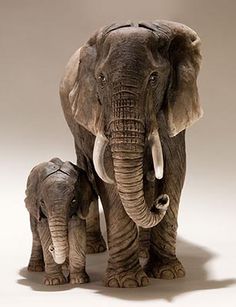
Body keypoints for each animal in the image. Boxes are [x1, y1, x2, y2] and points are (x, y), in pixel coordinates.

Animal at [59, 21, 203, 288]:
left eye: (154, 78)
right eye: (101, 78)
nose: (161, 202)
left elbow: (175, 169)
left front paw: (169, 274)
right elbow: (108, 176)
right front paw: (127, 283)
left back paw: (144, 250)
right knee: (88, 169)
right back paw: (95, 248)